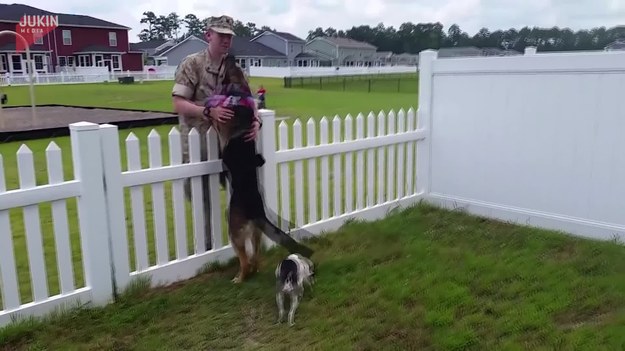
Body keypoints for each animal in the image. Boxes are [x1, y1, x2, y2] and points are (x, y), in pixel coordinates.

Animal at [206, 55, 312, 286]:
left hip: (234, 231)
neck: (238, 94)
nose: (230, 55)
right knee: (255, 256)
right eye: (235, 65)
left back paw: (239, 277)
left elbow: (213, 116)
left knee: (245, 260)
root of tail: (257, 212)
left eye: (228, 66)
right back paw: (252, 271)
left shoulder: (220, 122)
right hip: (255, 233)